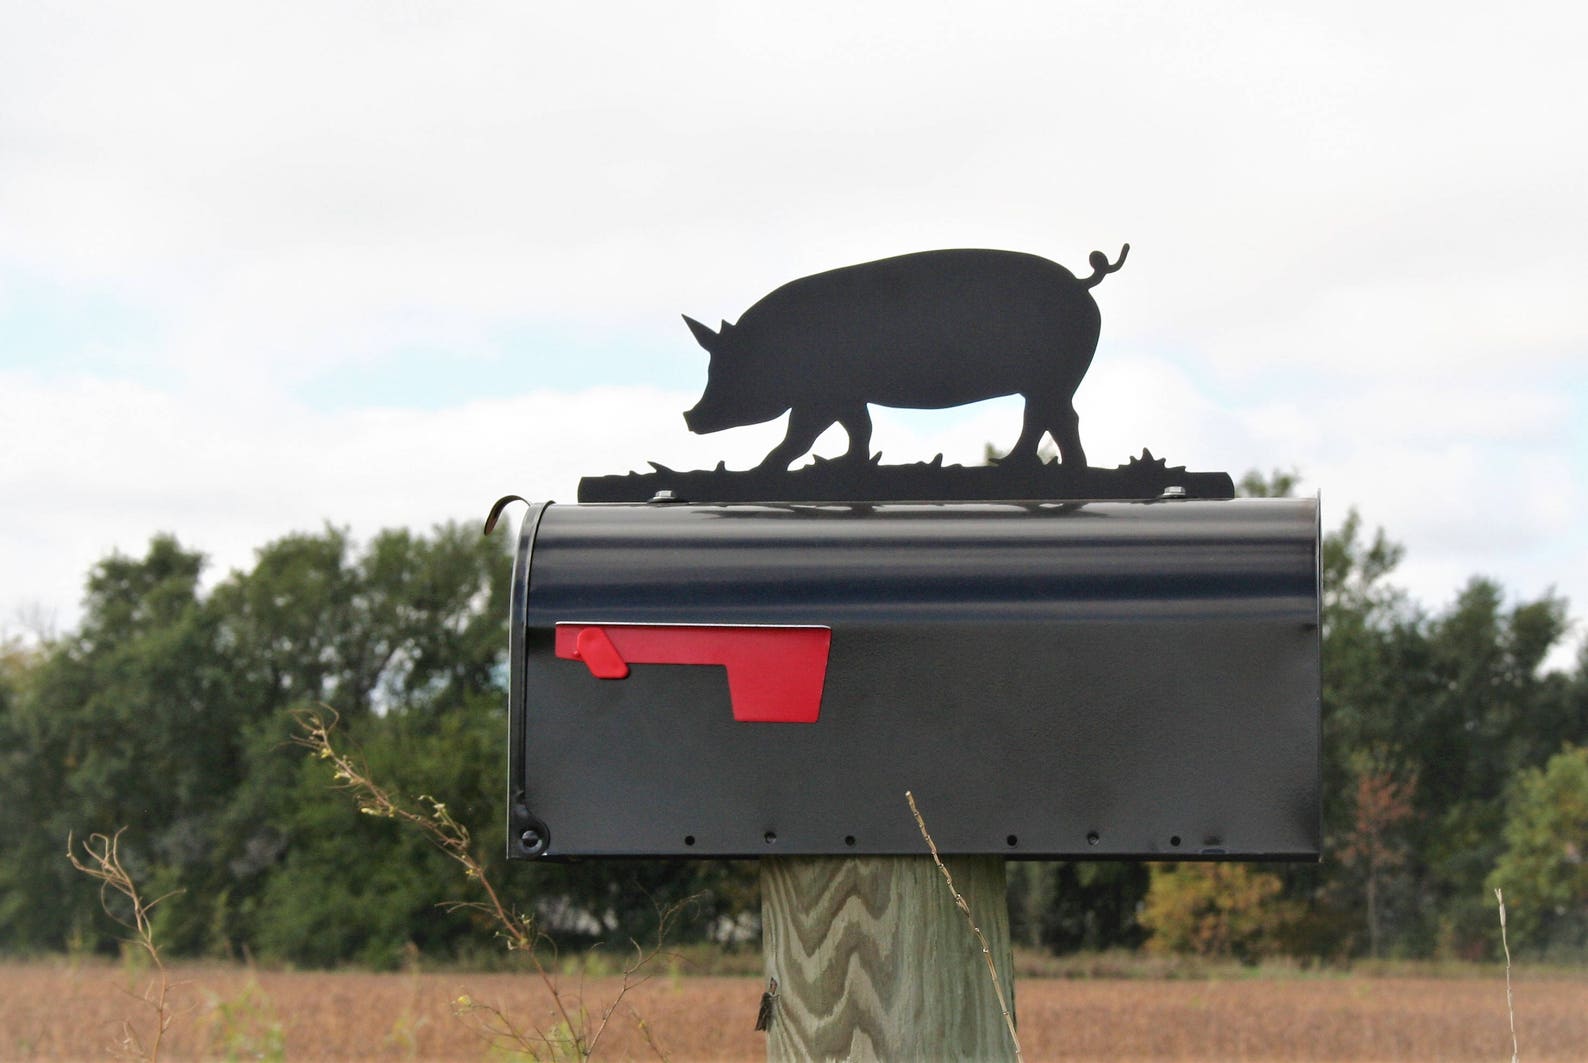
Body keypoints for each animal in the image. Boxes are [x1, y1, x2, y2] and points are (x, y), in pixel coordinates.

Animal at [682, 244, 1128, 471]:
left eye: (727, 370)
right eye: (712, 368)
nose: (689, 418)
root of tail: (1082, 281)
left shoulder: (821, 396)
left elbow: (800, 435)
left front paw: (762, 470)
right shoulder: (847, 395)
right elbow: (860, 429)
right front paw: (846, 464)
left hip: (1054, 377)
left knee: (1055, 417)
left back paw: (1034, 466)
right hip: (1048, 382)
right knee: (1047, 418)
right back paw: (1018, 464)